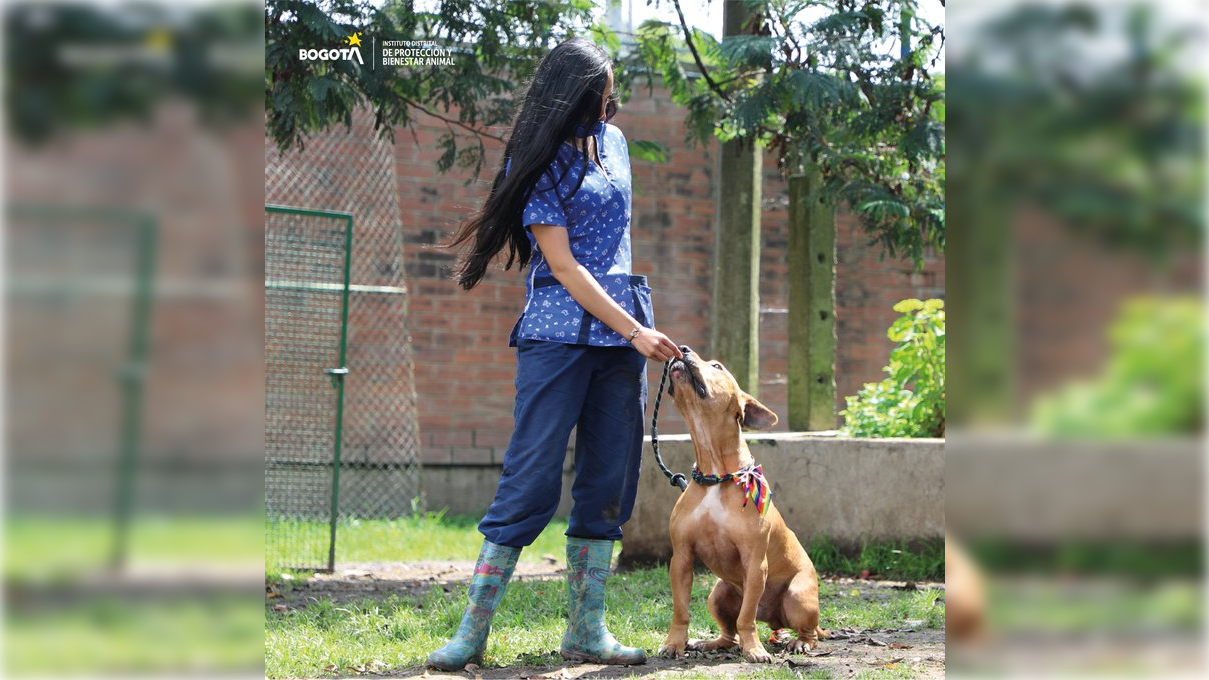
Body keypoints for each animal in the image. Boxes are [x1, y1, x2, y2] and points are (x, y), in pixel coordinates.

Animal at [657, 348, 826, 663]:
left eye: (716, 366)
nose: (682, 348)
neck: (716, 476)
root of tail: (773, 619)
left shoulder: (754, 563)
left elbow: (746, 618)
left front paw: (754, 650)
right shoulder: (681, 558)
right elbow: (680, 610)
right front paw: (674, 643)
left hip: (798, 596)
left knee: (807, 631)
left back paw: (800, 643)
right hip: (718, 593)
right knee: (729, 633)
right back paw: (710, 643)